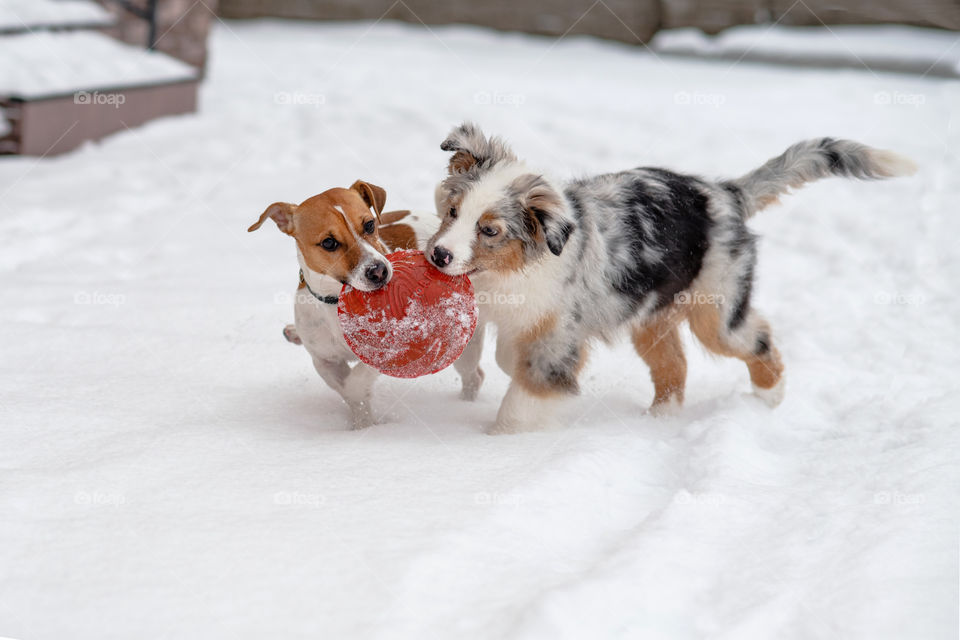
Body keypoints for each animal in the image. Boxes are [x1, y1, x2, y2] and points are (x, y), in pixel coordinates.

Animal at [249, 181, 488, 430]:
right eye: (328, 242)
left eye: (370, 224)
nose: (378, 271)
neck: (336, 302)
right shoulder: (324, 360)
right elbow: (348, 390)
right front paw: (361, 424)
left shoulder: (387, 353)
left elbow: (354, 384)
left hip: (464, 346)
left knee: (474, 376)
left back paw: (463, 405)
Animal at [428, 124, 916, 436]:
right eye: (452, 211)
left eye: (490, 231)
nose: (438, 255)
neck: (515, 269)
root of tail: (725, 194)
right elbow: (508, 357)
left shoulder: (556, 336)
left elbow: (526, 394)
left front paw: (504, 442)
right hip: (653, 317)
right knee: (673, 366)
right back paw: (661, 420)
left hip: (716, 308)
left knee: (757, 337)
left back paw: (768, 400)